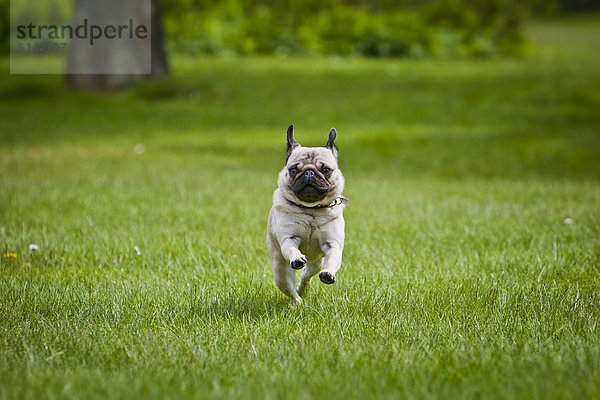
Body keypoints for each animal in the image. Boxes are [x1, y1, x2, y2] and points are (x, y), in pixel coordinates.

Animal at [266, 125, 350, 306]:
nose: (309, 173)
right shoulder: (288, 239)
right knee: (290, 289)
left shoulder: (332, 244)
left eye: (326, 170)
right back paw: (297, 302)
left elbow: (332, 260)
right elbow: (292, 249)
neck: (311, 210)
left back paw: (303, 290)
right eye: (293, 170)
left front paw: (328, 274)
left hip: (315, 264)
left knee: (306, 276)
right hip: (280, 270)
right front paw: (297, 258)